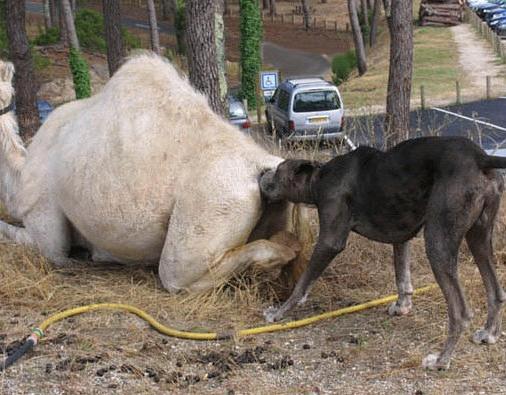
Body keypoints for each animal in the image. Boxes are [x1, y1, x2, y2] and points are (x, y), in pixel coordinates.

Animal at [260, 137, 506, 372]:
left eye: (278, 169)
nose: (262, 173)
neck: (320, 178)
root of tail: (481, 158)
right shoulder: (402, 236)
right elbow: (402, 278)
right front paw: (402, 306)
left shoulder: (330, 241)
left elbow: (302, 284)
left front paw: (278, 313)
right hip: (479, 237)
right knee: (496, 292)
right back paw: (489, 334)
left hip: (438, 243)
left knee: (461, 313)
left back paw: (441, 360)